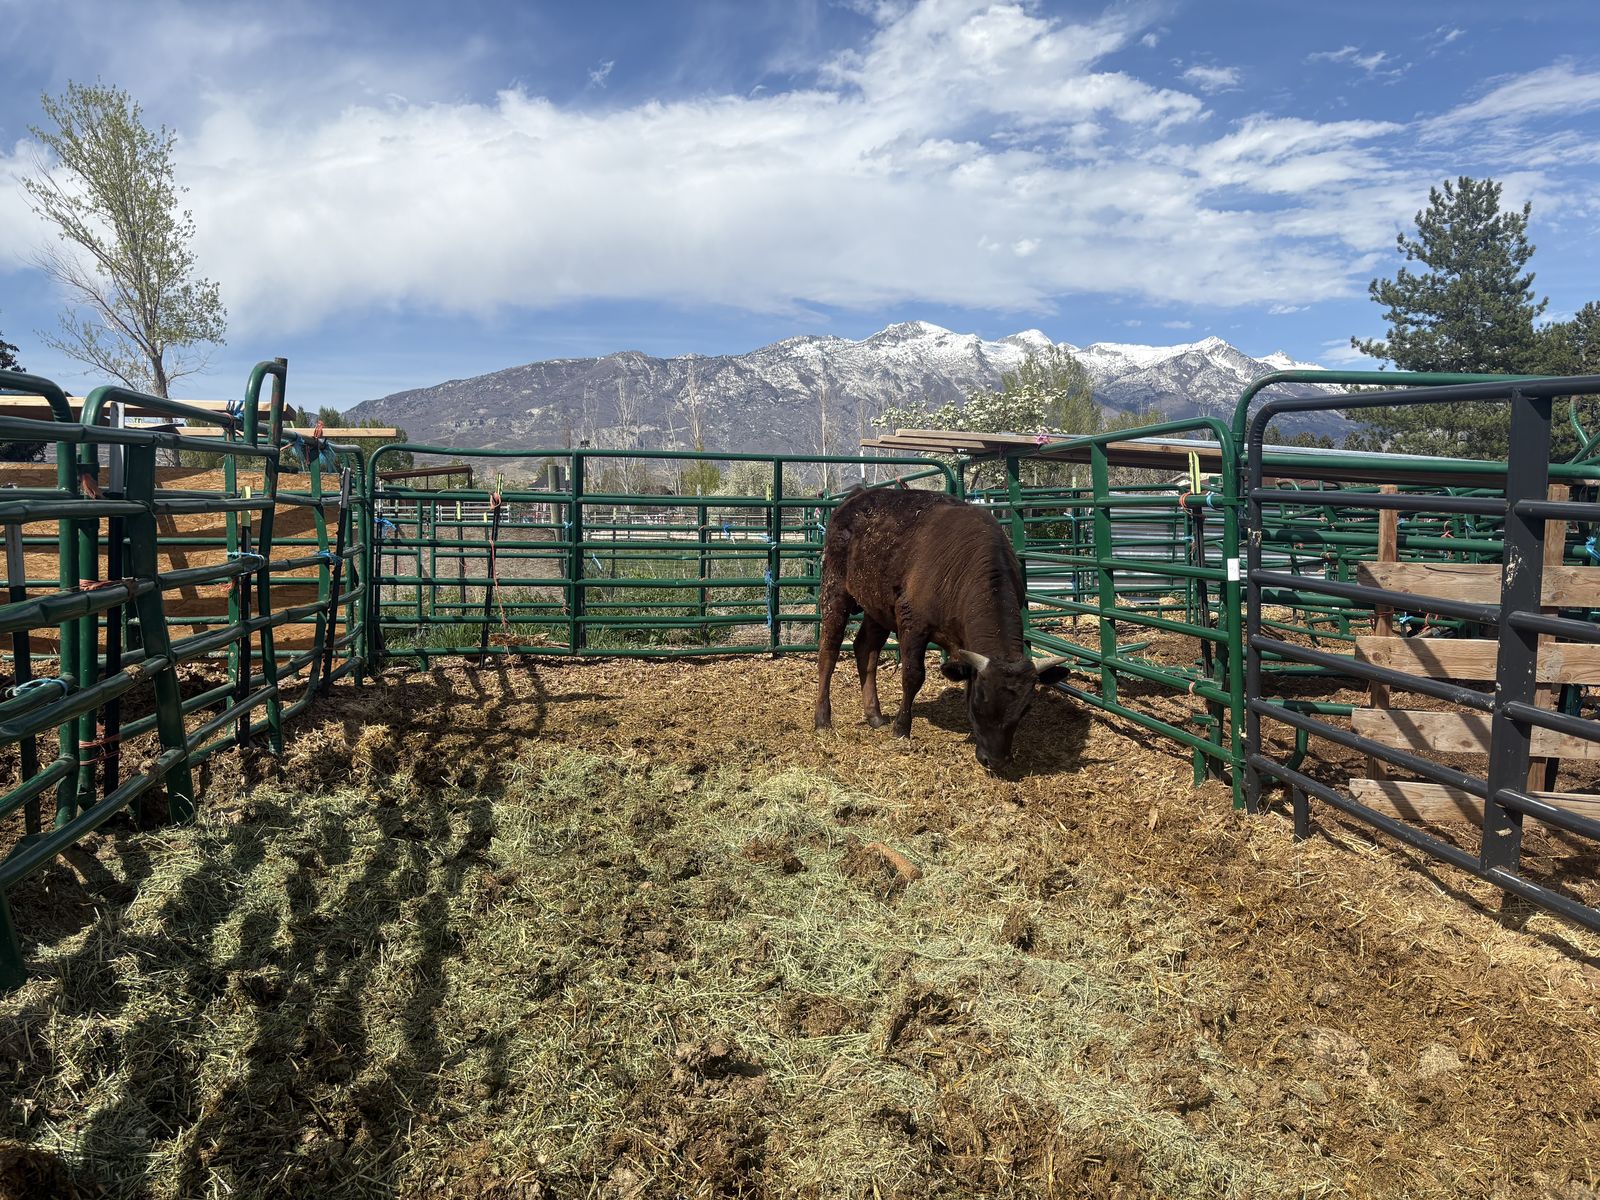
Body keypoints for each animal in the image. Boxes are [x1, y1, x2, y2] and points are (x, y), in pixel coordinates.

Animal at [813, 486, 1069, 770]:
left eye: (1025, 709)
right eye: (979, 702)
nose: (995, 760)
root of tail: (855, 496)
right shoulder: (912, 623)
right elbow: (913, 676)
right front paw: (902, 729)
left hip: (876, 607)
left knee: (865, 649)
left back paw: (875, 715)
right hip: (835, 590)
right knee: (829, 651)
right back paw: (822, 718)